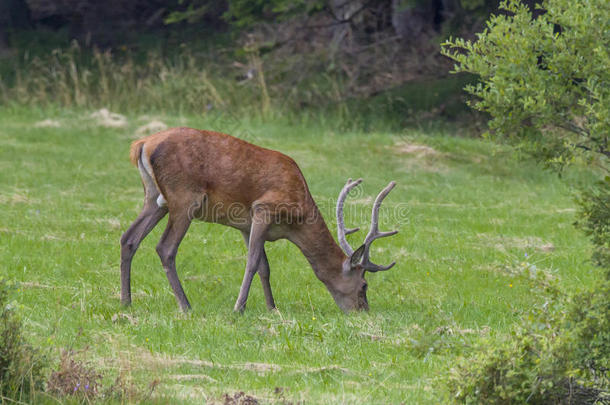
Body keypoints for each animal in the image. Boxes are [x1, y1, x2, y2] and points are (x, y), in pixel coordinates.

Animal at [120, 128, 396, 310]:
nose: (362, 311)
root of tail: (142, 144)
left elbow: (264, 266)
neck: (295, 221)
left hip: (155, 198)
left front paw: (271, 308)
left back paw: (126, 301)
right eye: (364, 286)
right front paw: (238, 308)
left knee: (128, 238)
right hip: (184, 198)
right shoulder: (264, 209)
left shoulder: (246, 224)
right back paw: (185, 305)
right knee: (165, 247)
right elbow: (252, 262)